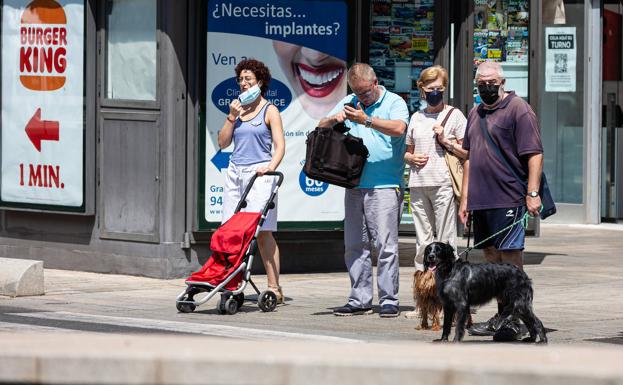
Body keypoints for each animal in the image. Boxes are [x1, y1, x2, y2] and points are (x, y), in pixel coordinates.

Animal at [424, 242, 552, 344]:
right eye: (429, 250)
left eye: (438, 250)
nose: (431, 257)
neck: (449, 271)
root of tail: (523, 274)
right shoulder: (448, 305)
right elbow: (446, 325)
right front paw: (443, 340)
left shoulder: (462, 305)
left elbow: (459, 326)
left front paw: (456, 341)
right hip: (517, 305)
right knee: (529, 322)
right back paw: (531, 339)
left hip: (520, 304)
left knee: (537, 322)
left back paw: (542, 340)